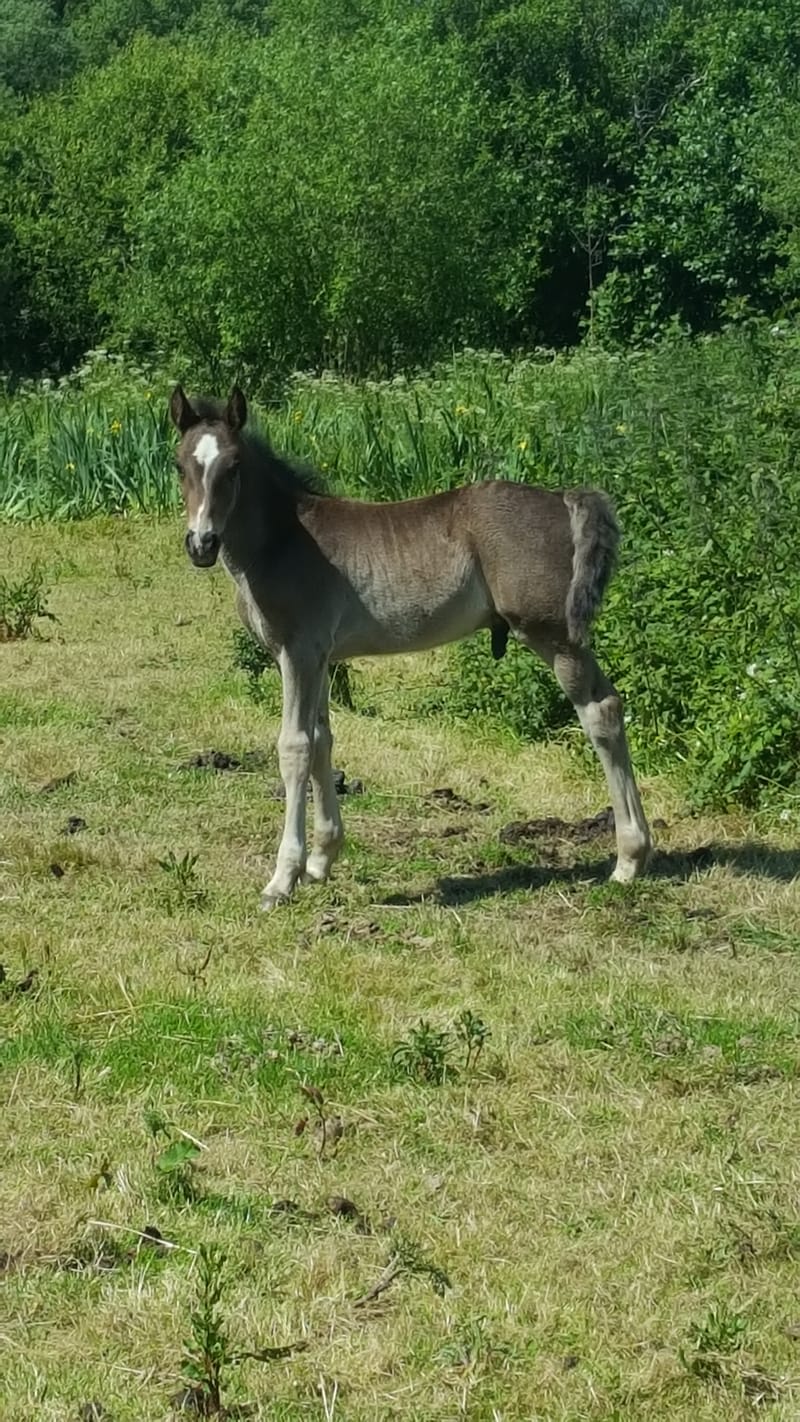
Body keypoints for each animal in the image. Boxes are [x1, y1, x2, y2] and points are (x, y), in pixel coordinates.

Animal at [169, 385, 651, 908]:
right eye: (179, 465)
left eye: (234, 466)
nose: (201, 543)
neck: (283, 541)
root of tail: (562, 498)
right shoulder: (320, 658)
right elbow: (321, 741)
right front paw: (321, 860)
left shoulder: (297, 652)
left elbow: (294, 748)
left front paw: (282, 878)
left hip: (553, 635)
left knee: (601, 710)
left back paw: (629, 860)